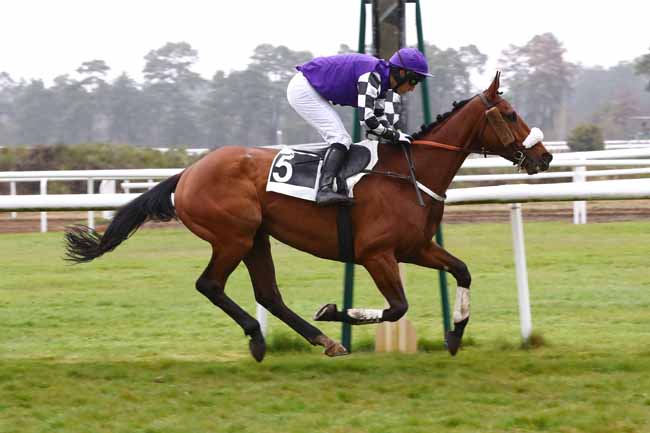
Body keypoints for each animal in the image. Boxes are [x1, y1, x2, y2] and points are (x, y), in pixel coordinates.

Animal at [65, 72, 552, 362]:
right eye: (510, 114)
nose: (544, 157)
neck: (409, 173)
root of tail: (188, 171)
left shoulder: (415, 247)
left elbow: (463, 271)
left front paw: (455, 333)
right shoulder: (376, 254)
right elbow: (397, 308)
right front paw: (334, 310)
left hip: (256, 238)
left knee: (268, 294)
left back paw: (322, 342)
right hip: (232, 237)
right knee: (211, 285)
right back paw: (260, 338)